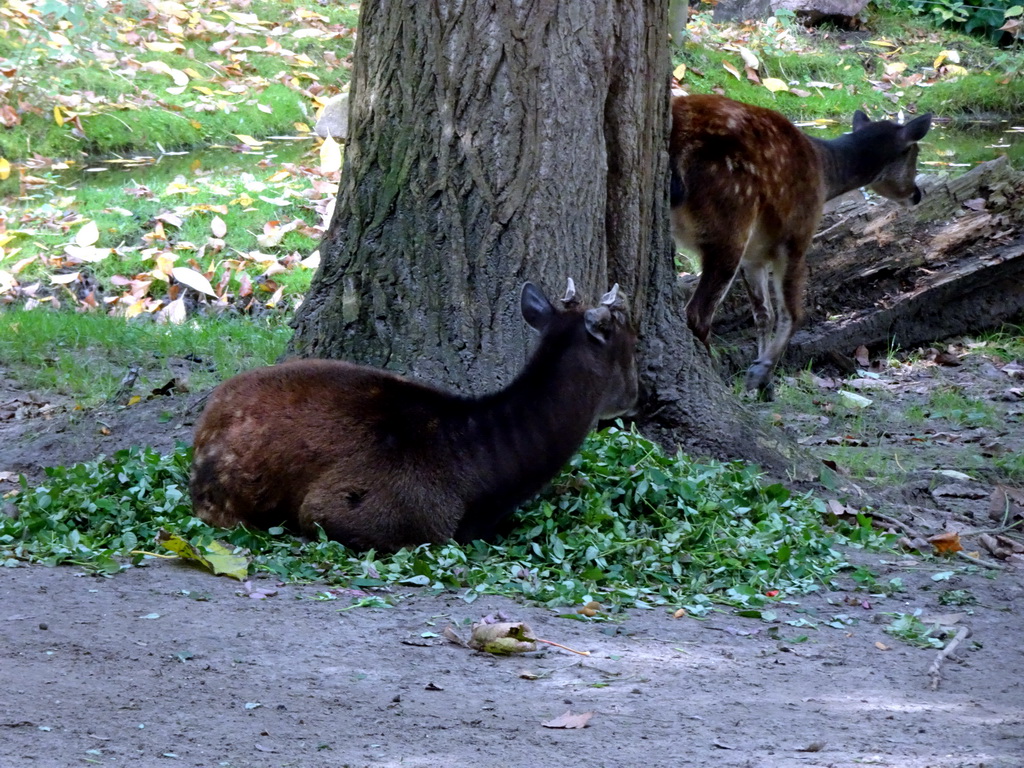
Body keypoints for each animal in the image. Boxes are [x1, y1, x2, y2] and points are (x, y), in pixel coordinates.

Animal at [667, 93, 933, 399]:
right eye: (914, 153)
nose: (917, 194)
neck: (825, 174)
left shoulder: (754, 255)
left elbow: (764, 314)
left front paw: (765, 386)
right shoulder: (797, 233)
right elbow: (793, 314)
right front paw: (760, 374)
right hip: (730, 219)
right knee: (698, 313)